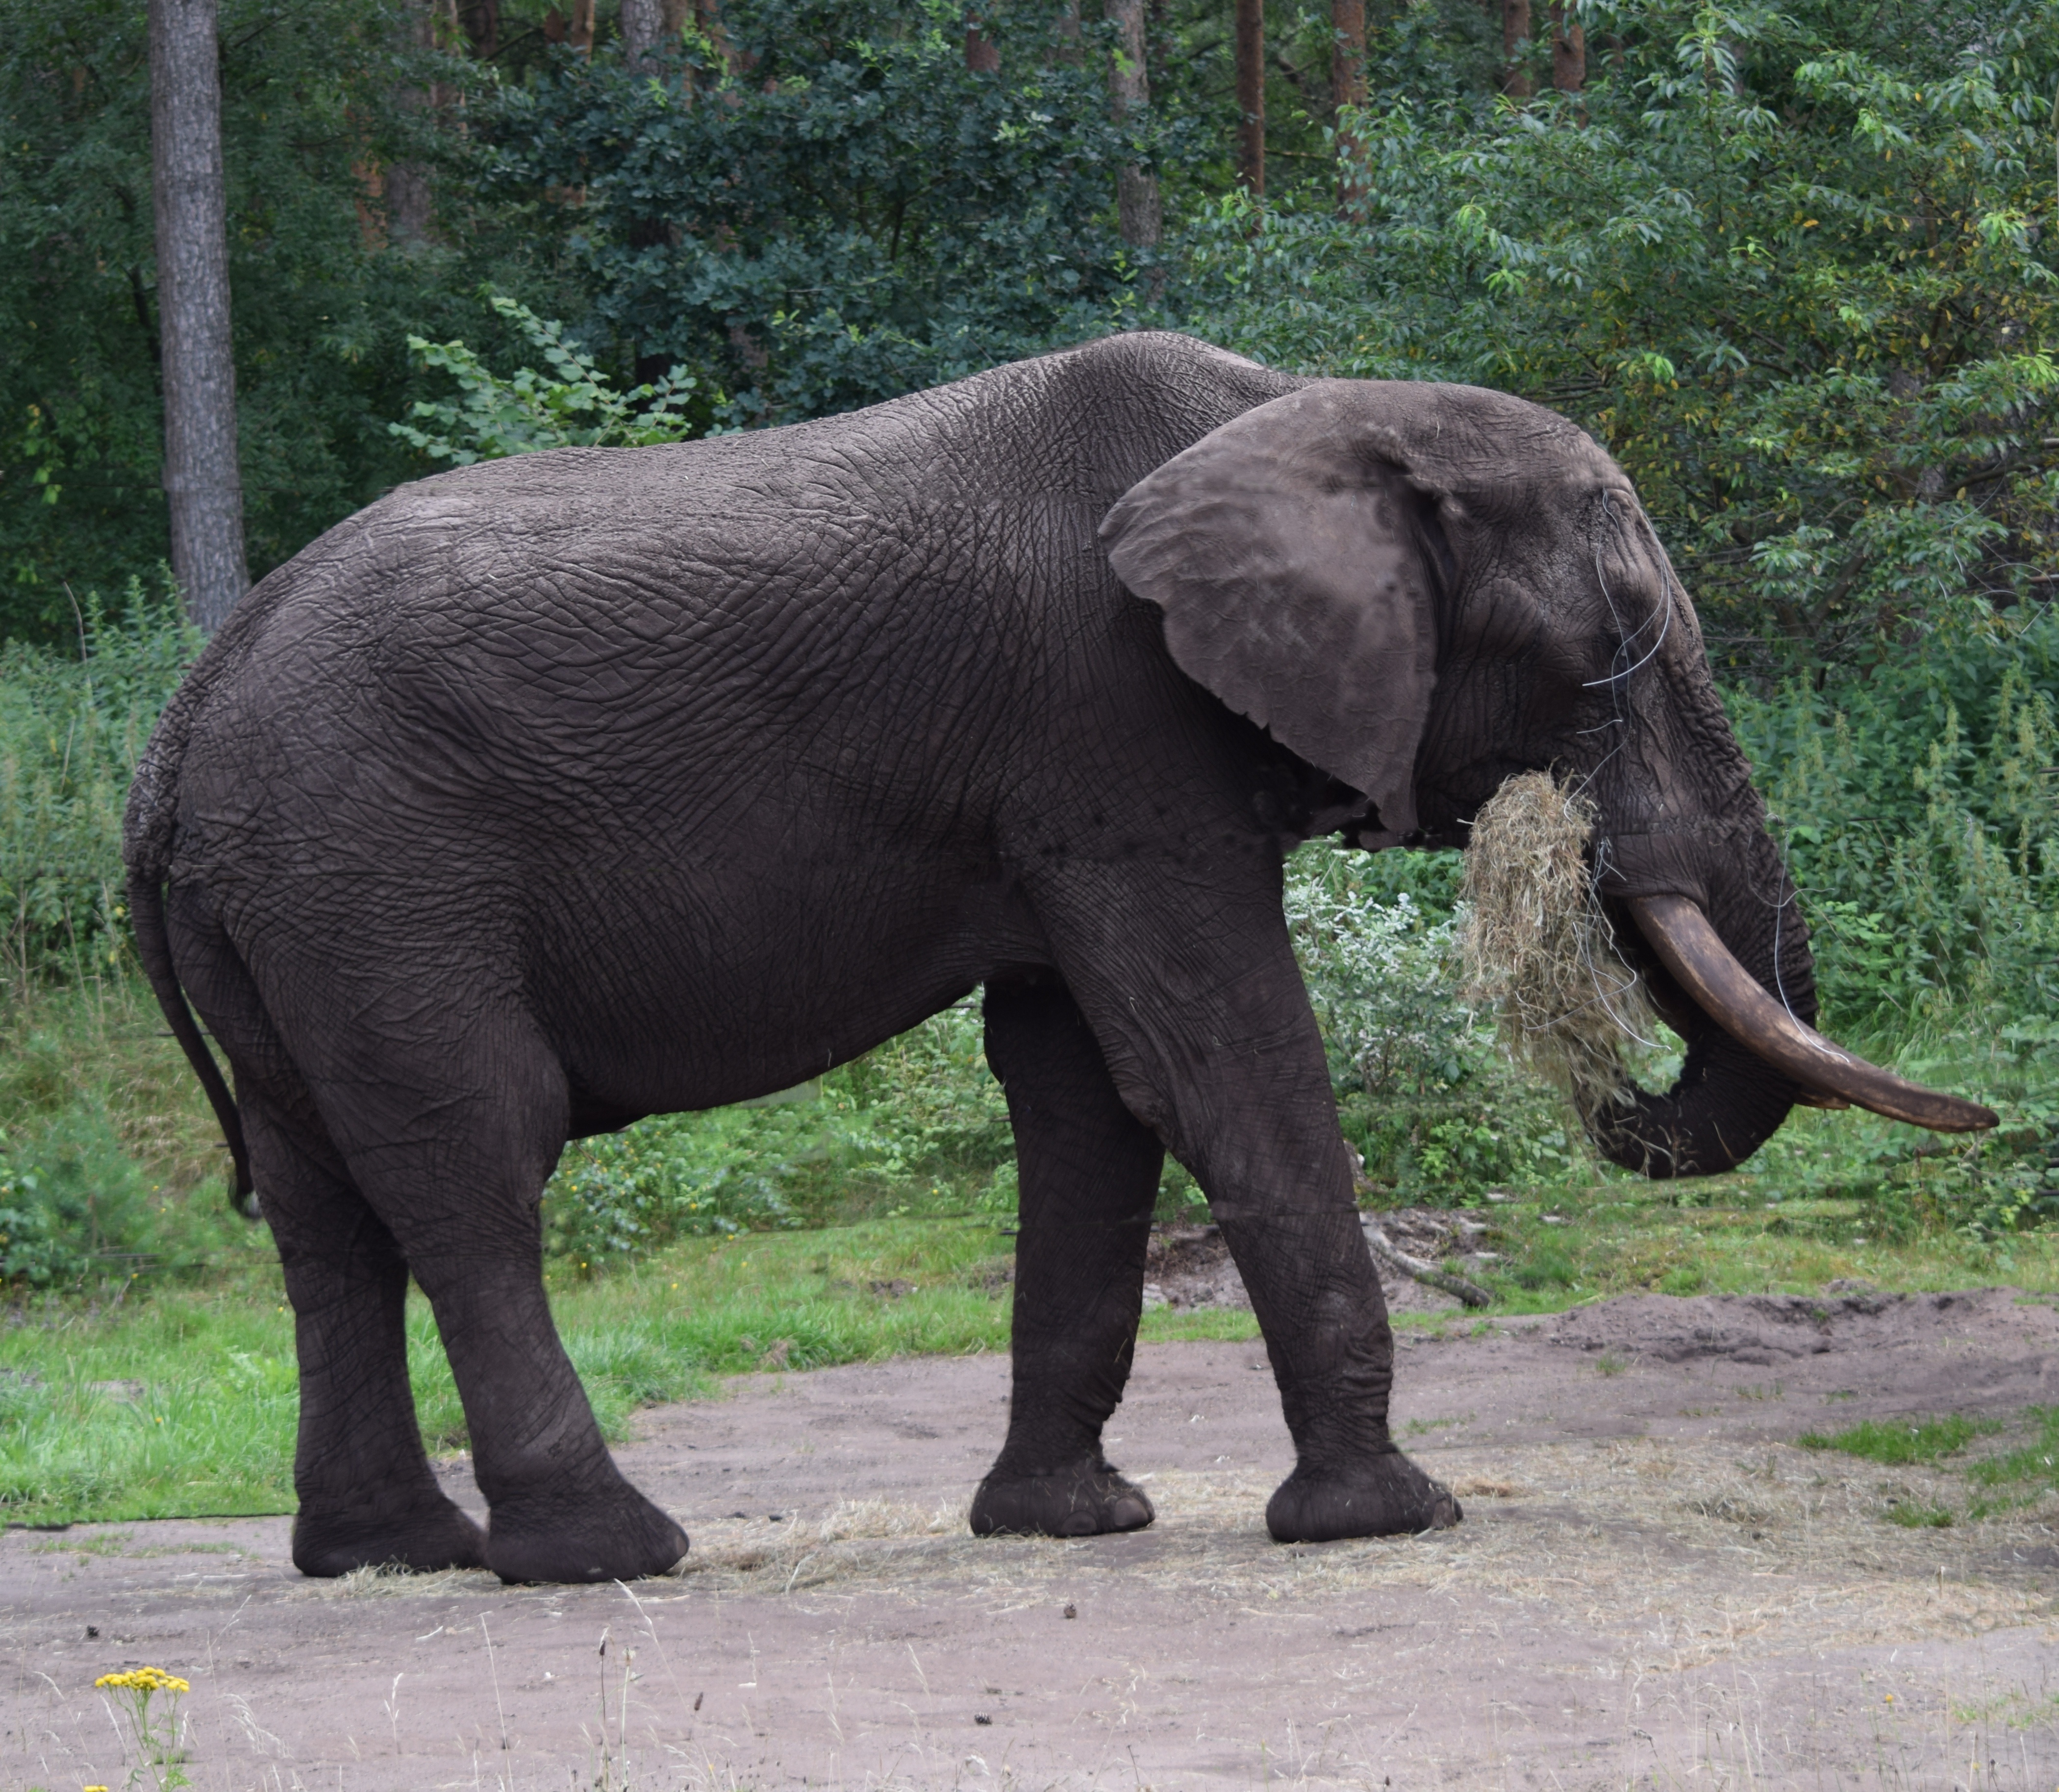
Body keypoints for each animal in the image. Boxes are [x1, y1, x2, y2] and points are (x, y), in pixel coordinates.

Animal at [120, 325, 1984, 1582]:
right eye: (1617, 651)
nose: (1605, 1053)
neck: (1310, 410)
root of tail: (181, 727)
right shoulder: (1116, 731)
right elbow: (1218, 1060)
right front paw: (1388, 1519)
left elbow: (1085, 1091)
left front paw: (1070, 1526)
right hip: (378, 875)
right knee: (471, 1161)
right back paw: (608, 1551)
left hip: (287, 907)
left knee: (327, 1213)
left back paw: (391, 1554)